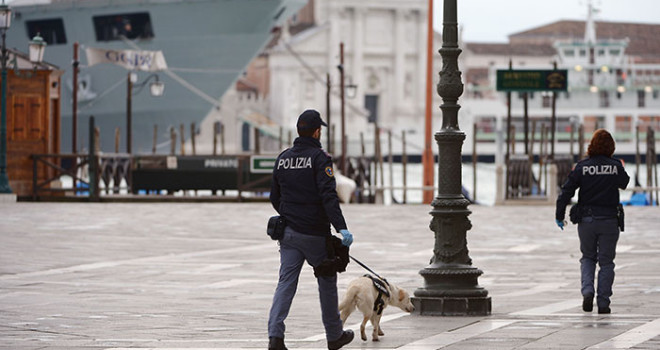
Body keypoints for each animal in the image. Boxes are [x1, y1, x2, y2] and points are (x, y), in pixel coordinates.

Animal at [266, 109, 354, 350]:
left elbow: (275, 193)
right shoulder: (325, 164)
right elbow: (329, 195)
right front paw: (345, 234)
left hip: (290, 250)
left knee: (284, 286)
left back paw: (276, 341)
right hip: (319, 253)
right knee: (327, 282)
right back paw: (337, 338)